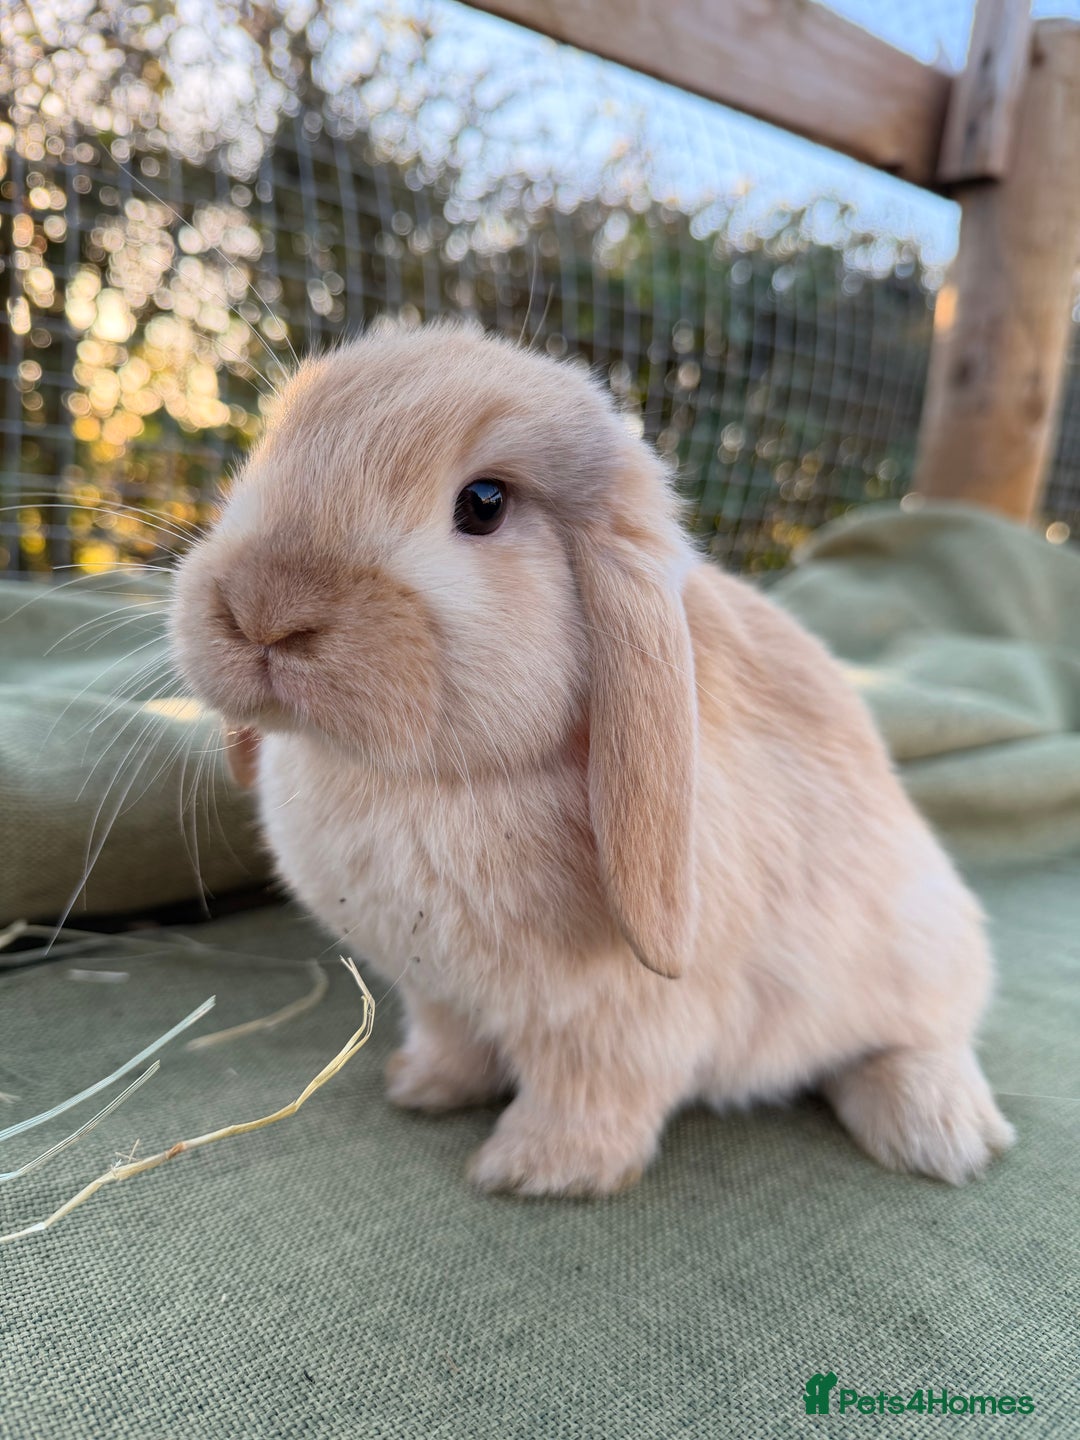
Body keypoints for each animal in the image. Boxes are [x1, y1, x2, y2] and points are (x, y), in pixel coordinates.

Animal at [170, 320, 1014, 1197]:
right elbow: (452, 1045)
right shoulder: (438, 994)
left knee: (923, 1036)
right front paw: (423, 1089)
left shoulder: (617, 1021)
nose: (263, 610)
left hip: (917, 948)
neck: (428, 781)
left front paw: (533, 1170)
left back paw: (939, 1132)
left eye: (484, 504)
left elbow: (593, 1091)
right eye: (267, 453)